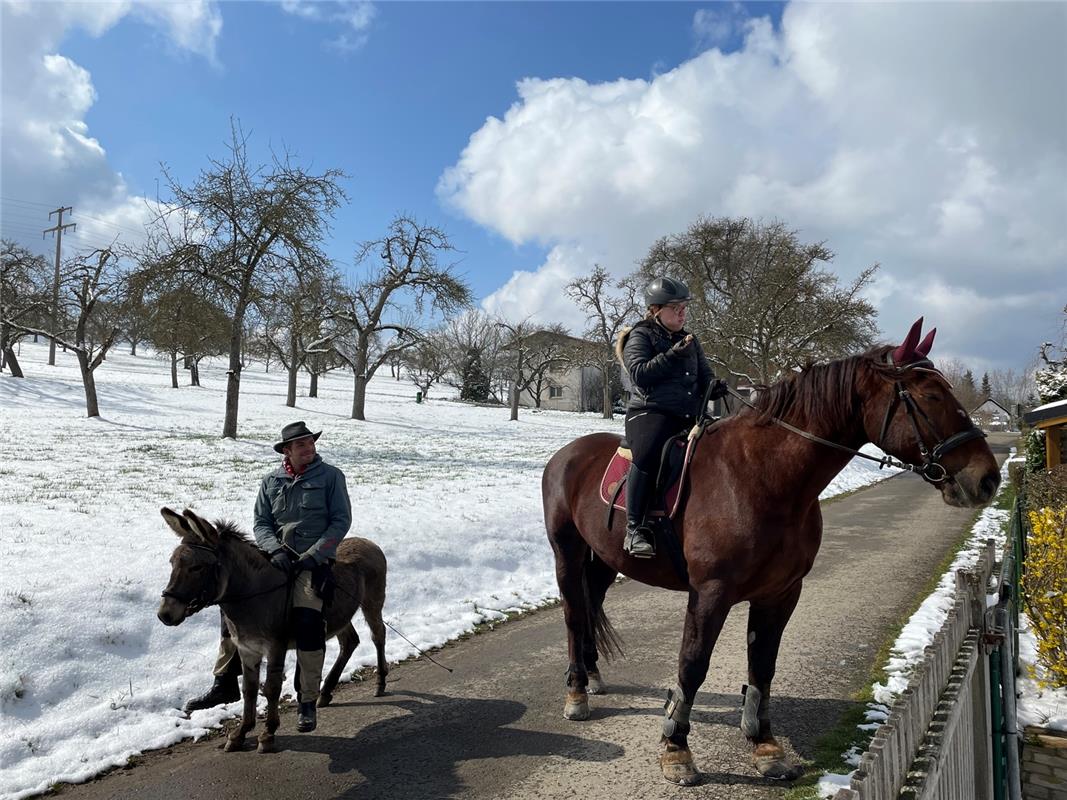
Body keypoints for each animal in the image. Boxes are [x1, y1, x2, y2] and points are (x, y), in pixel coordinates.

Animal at [155, 509, 390, 755]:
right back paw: (325, 692)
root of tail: (368, 542)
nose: (165, 614)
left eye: (197, 567)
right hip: (339, 617)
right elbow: (249, 690)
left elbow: (271, 688)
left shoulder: (275, 647)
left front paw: (268, 733)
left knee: (378, 635)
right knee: (350, 642)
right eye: (172, 563)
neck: (256, 596)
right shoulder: (247, 649)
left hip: (372, 603)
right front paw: (240, 733)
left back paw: (380, 682)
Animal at [542, 320, 998, 785]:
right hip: (568, 554)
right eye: (930, 395)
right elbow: (692, 664)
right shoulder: (710, 593)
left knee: (591, 607)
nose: (987, 479)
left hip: (604, 560)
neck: (760, 476)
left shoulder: (780, 593)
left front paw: (764, 746)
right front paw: (676, 749)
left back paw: (593, 675)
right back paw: (577, 694)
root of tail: (567, 454)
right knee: (574, 615)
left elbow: (762, 666)